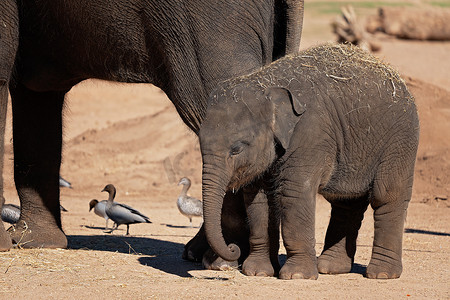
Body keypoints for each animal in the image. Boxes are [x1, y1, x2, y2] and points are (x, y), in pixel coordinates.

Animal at [199, 43, 420, 280]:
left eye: (237, 149)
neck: (266, 84)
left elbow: (295, 191)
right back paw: (330, 268)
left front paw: (296, 276)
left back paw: (382, 274)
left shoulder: (311, 134)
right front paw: (258, 272)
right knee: (346, 201)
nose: (233, 249)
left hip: (400, 140)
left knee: (386, 195)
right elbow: (259, 198)